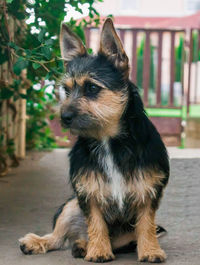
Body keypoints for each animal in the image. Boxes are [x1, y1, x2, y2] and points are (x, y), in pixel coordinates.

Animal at [18, 18, 169, 262]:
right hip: (70, 206)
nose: (64, 117)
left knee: (119, 238)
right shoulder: (87, 192)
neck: (107, 140)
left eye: (91, 87)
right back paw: (43, 242)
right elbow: (96, 223)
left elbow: (146, 224)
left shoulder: (147, 189)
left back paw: (82, 245)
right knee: (58, 237)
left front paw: (150, 251)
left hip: (124, 233)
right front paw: (98, 251)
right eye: (66, 90)